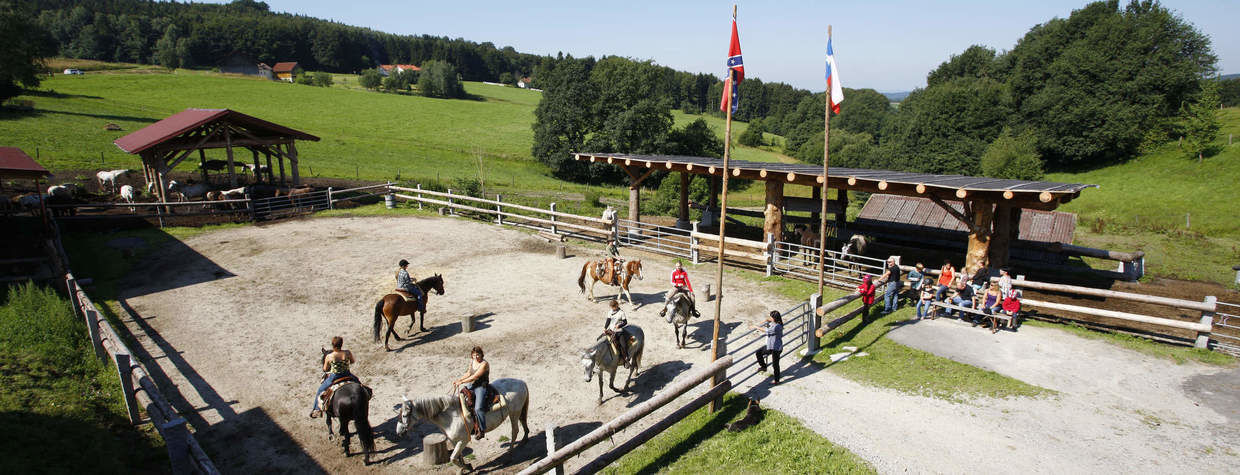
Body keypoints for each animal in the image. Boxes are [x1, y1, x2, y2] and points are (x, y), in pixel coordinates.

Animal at [394, 379, 530, 471]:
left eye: (404, 415)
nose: (398, 432)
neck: (451, 416)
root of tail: (521, 382)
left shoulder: (464, 440)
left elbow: (452, 458)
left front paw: (467, 467)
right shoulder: (454, 440)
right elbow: (458, 456)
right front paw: (465, 468)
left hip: (514, 413)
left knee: (514, 431)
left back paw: (510, 455)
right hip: (519, 411)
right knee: (523, 422)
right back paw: (524, 440)